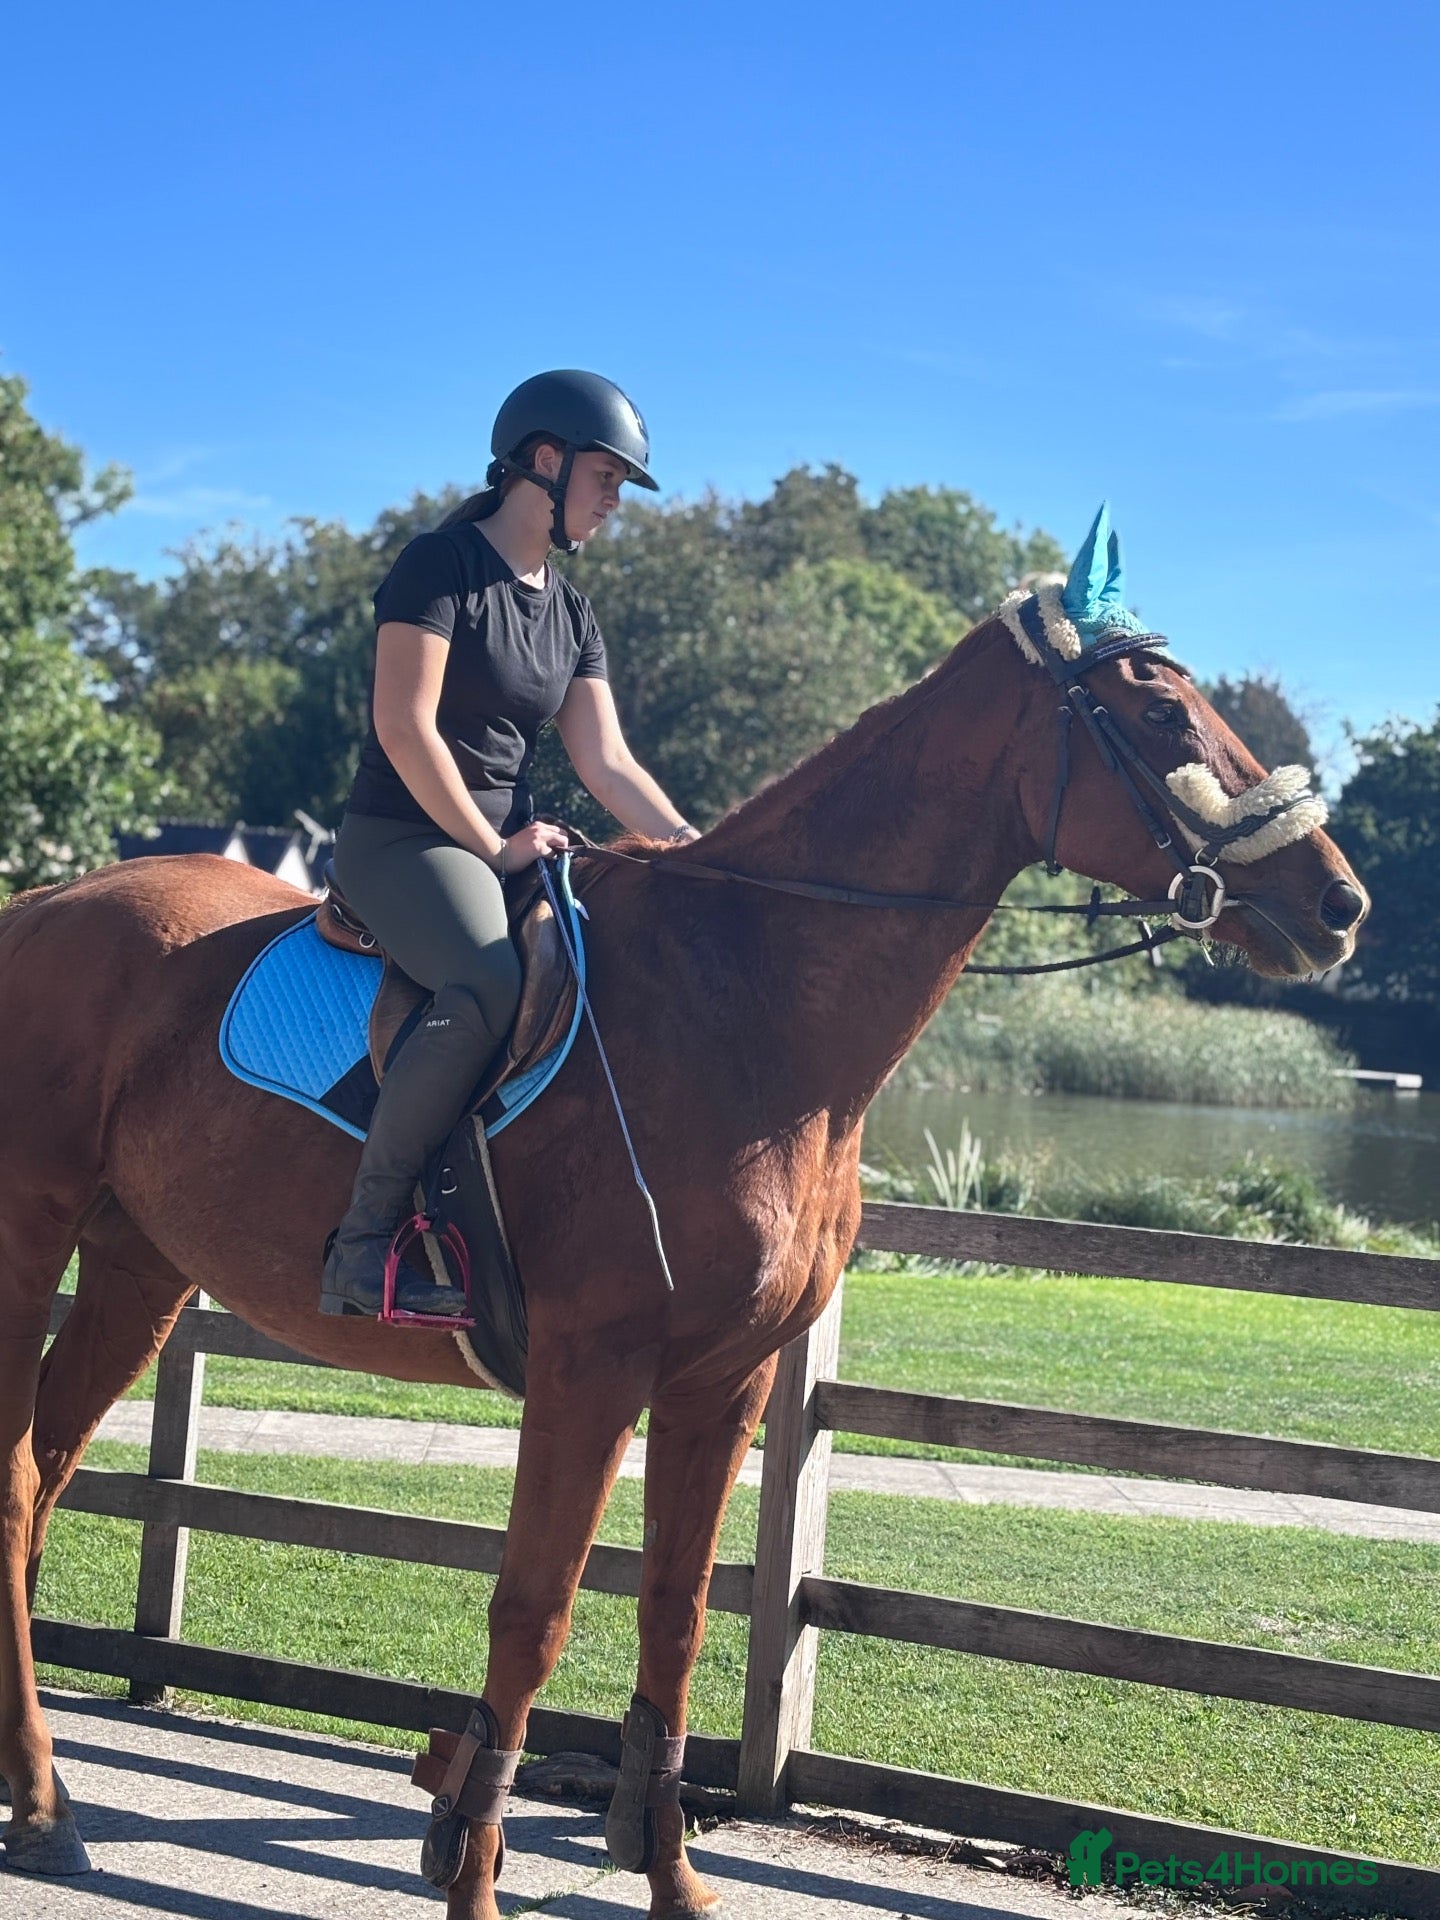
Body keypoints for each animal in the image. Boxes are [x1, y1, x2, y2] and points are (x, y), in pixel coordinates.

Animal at [0, 562, 1367, 1919]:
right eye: (1162, 714)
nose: (1339, 902)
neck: (749, 1004)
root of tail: (42, 905)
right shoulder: (591, 1374)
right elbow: (535, 1612)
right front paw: (474, 1873)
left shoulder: (724, 1384)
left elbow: (676, 1612)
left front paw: (667, 1873)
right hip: (32, 1239)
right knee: (17, 1484)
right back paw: (51, 1805)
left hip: (138, 1270)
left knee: (42, 1480)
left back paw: (37, 1796)